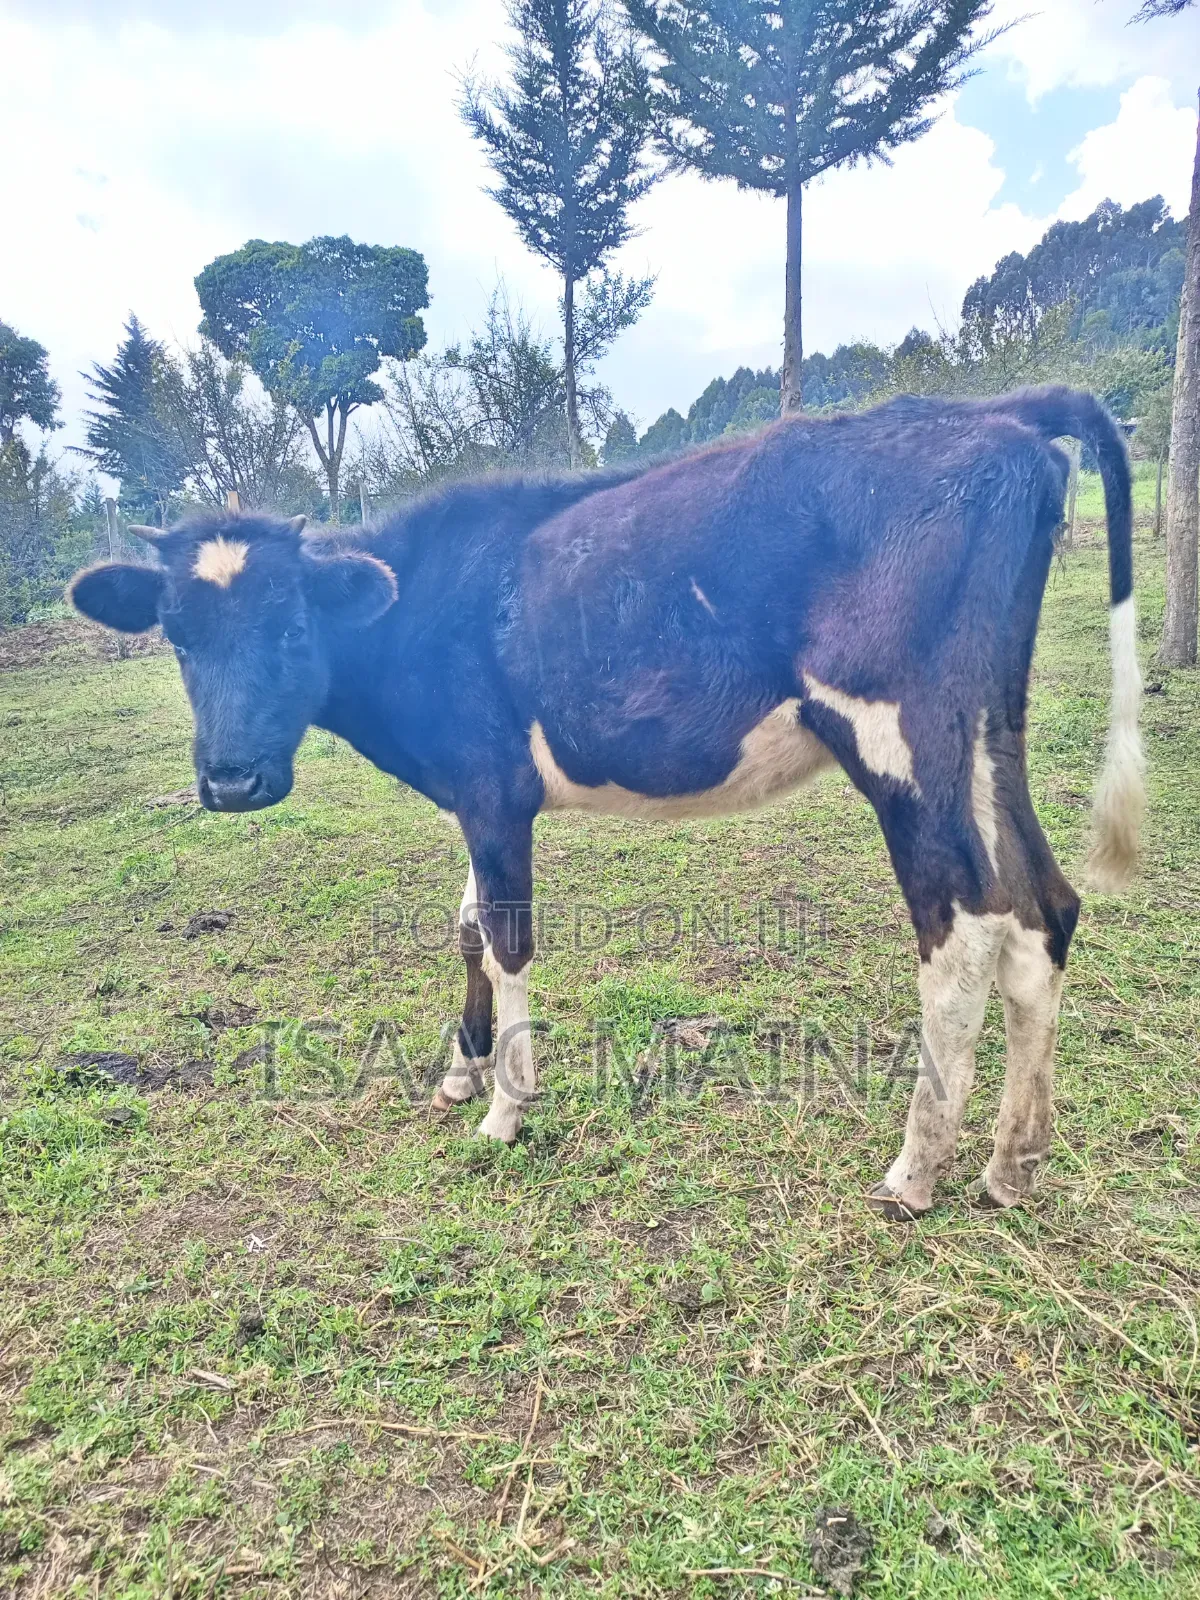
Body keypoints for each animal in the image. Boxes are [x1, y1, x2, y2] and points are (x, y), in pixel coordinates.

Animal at [70, 386, 1143, 1219]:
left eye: (292, 626)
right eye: (176, 635)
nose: (232, 780)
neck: (413, 610)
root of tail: (994, 413)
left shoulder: (493, 789)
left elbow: (506, 937)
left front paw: (505, 1109)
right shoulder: (474, 797)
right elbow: (465, 925)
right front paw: (458, 1071)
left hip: (902, 734)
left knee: (963, 922)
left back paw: (916, 1171)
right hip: (987, 725)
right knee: (1042, 908)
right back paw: (1013, 1163)